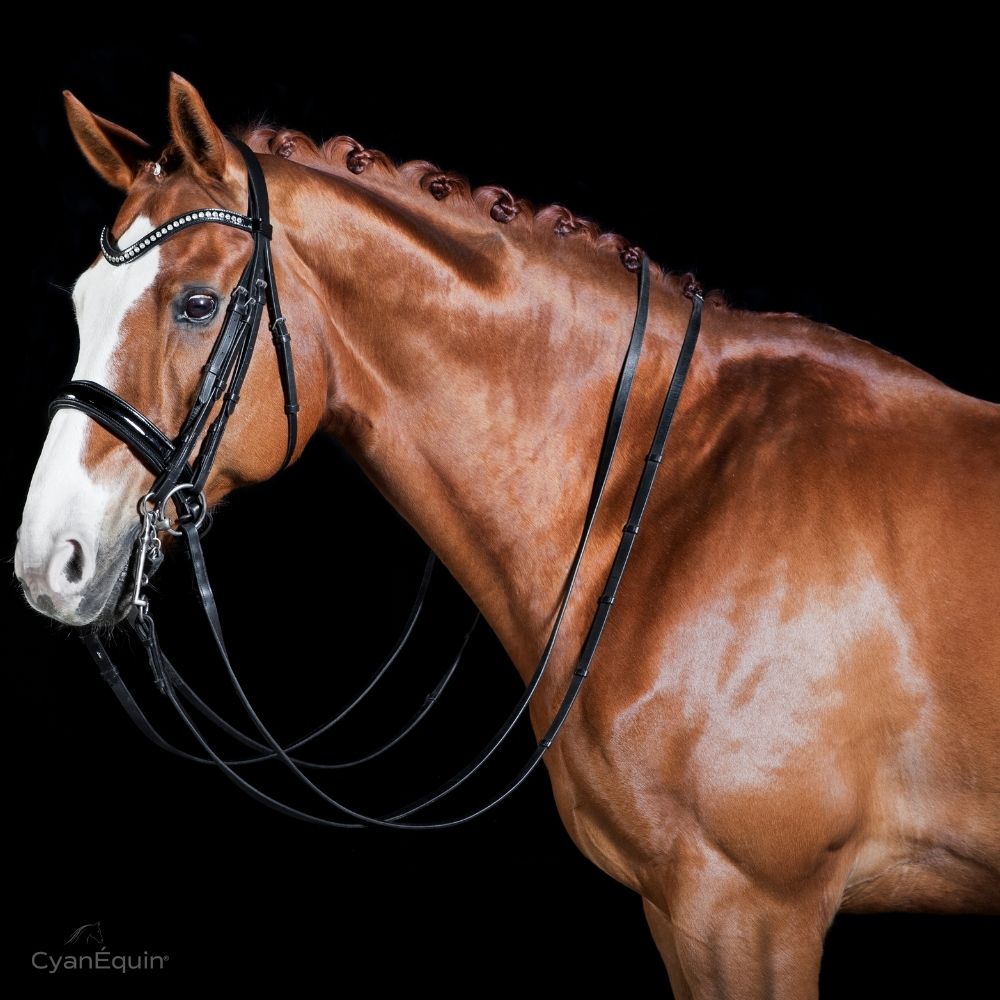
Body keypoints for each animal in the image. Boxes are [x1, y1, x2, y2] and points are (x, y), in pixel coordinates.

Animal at [15, 75, 999, 998]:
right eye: (81, 302)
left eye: (195, 303)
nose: (48, 561)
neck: (675, 494)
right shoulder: (689, 915)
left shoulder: (750, 912)